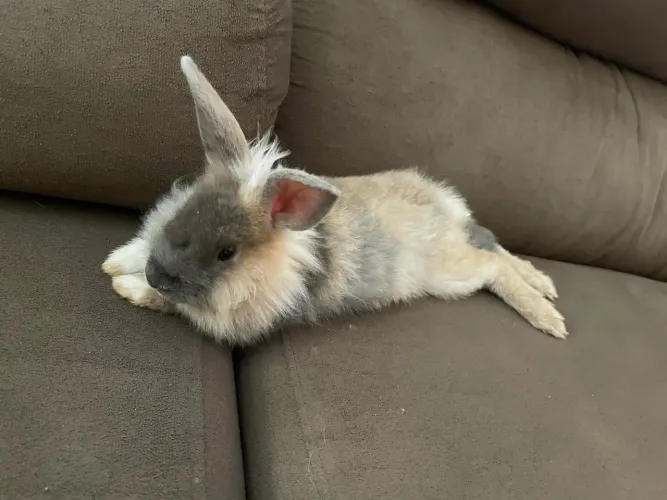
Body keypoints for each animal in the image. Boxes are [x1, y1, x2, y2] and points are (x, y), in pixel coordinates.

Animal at [102, 56, 567, 345]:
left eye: (226, 253)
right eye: (184, 211)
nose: (157, 273)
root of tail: (445, 204)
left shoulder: (234, 318)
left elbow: (173, 306)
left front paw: (127, 285)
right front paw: (117, 260)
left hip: (450, 274)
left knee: (492, 266)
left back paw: (549, 318)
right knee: (496, 249)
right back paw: (545, 286)